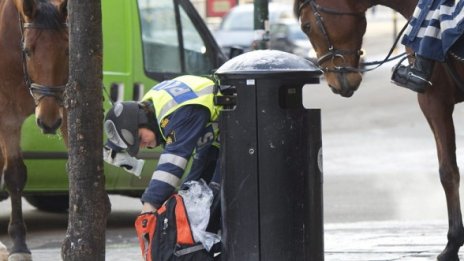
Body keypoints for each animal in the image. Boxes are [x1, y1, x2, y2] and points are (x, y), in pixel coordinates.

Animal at [0, 0, 68, 258]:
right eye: (28, 51)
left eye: (67, 51)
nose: (48, 122)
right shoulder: (7, 116)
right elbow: (15, 174)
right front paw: (19, 242)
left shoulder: (63, 104)